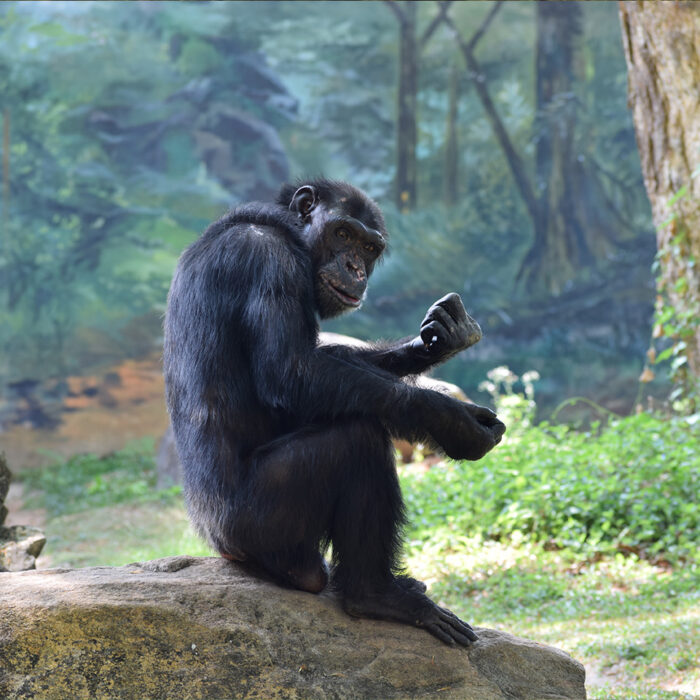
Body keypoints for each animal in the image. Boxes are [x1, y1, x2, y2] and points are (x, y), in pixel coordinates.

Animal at [164, 179, 504, 644]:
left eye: (370, 247)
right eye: (343, 233)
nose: (355, 266)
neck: (286, 231)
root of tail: (216, 542)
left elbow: (331, 362)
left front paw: (442, 338)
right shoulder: (268, 261)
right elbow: (291, 372)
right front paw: (451, 419)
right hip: (255, 520)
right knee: (356, 439)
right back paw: (376, 594)